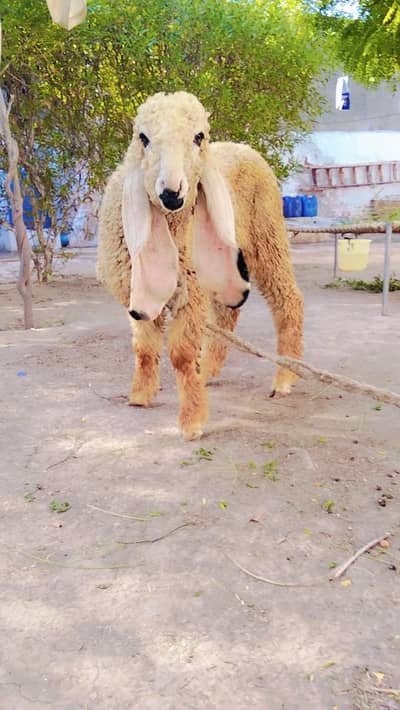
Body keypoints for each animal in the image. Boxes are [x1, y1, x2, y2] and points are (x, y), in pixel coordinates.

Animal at [97, 91, 303, 441]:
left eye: (199, 137)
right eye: (143, 138)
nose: (172, 193)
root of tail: (243, 146)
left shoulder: (189, 291)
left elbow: (180, 355)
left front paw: (192, 421)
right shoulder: (138, 291)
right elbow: (144, 348)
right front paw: (140, 395)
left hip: (268, 235)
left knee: (288, 299)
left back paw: (285, 378)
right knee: (227, 313)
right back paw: (207, 368)